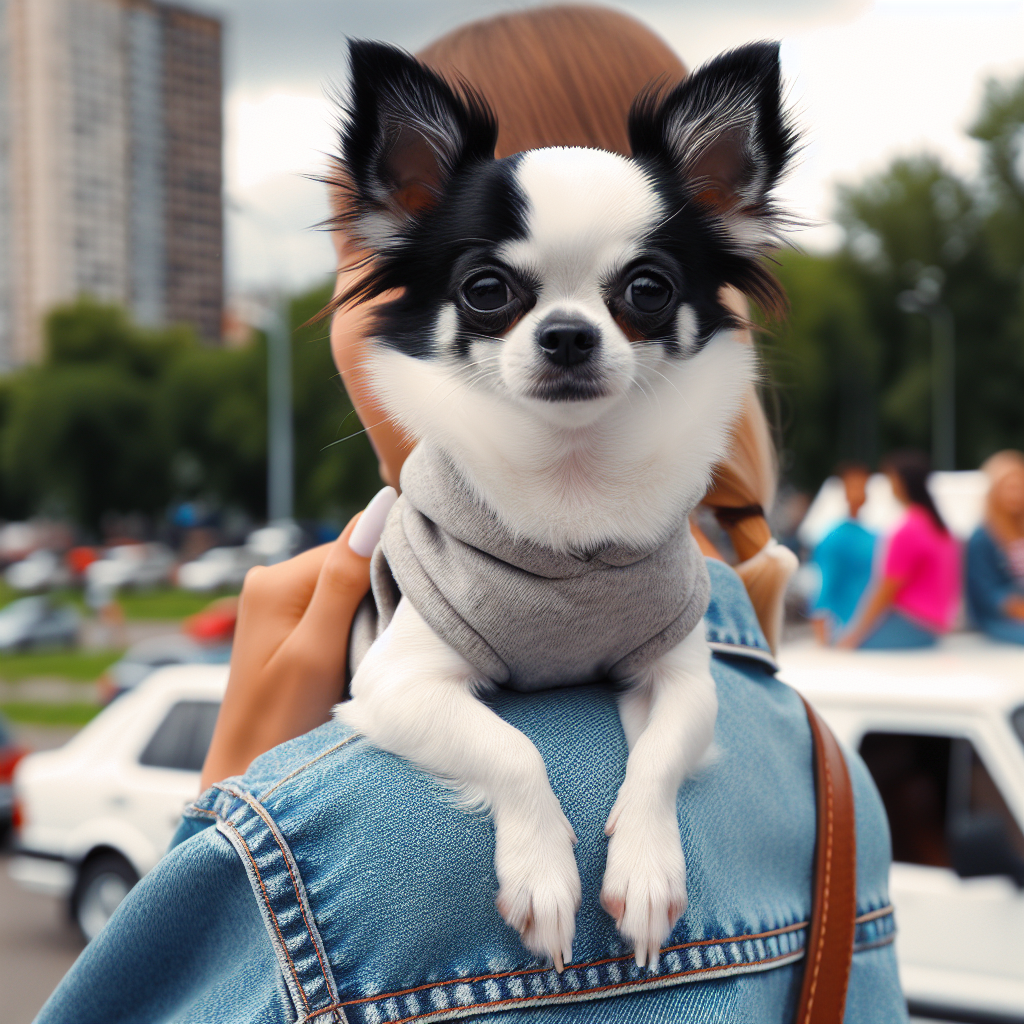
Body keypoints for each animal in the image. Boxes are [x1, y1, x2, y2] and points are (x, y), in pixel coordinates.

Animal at [331, 37, 794, 966]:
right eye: (485, 290)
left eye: (648, 290)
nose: (568, 334)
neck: (571, 475)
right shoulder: (393, 683)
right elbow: (510, 748)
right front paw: (543, 876)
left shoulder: (677, 669)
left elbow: (659, 757)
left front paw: (646, 873)